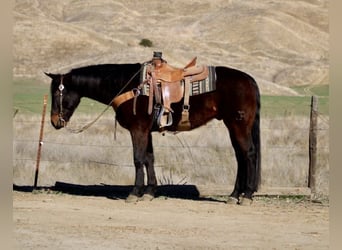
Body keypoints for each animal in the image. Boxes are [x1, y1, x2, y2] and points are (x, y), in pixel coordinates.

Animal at [44, 59, 260, 205]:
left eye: (57, 92)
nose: (55, 121)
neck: (129, 86)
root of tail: (249, 80)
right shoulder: (146, 131)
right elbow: (149, 158)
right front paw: (149, 192)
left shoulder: (138, 129)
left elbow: (138, 159)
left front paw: (134, 193)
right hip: (233, 126)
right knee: (240, 157)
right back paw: (234, 195)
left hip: (239, 125)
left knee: (248, 154)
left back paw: (247, 195)